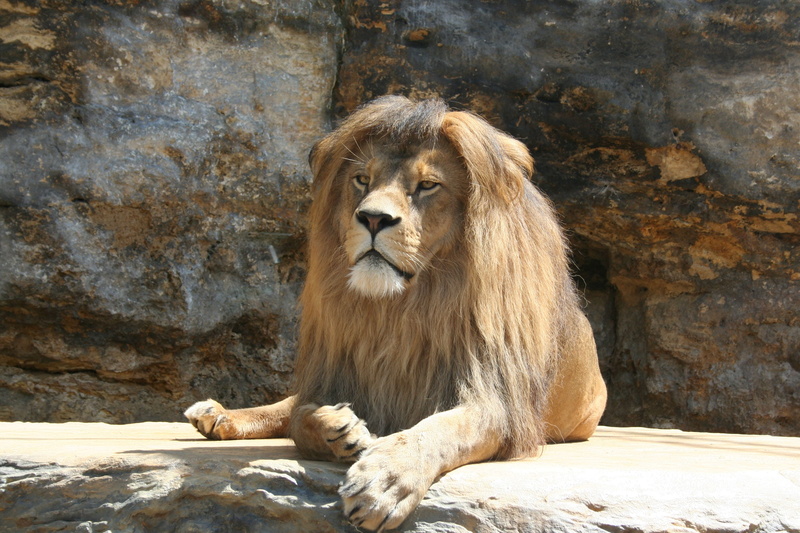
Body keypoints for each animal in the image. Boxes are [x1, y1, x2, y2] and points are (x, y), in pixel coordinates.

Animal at [185, 96, 607, 531]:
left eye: (427, 185)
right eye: (361, 180)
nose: (373, 217)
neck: (402, 307)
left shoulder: (497, 398)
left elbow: (441, 429)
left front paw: (384, 480)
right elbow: (302, 417)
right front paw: (338, 427)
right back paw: (217, 415)